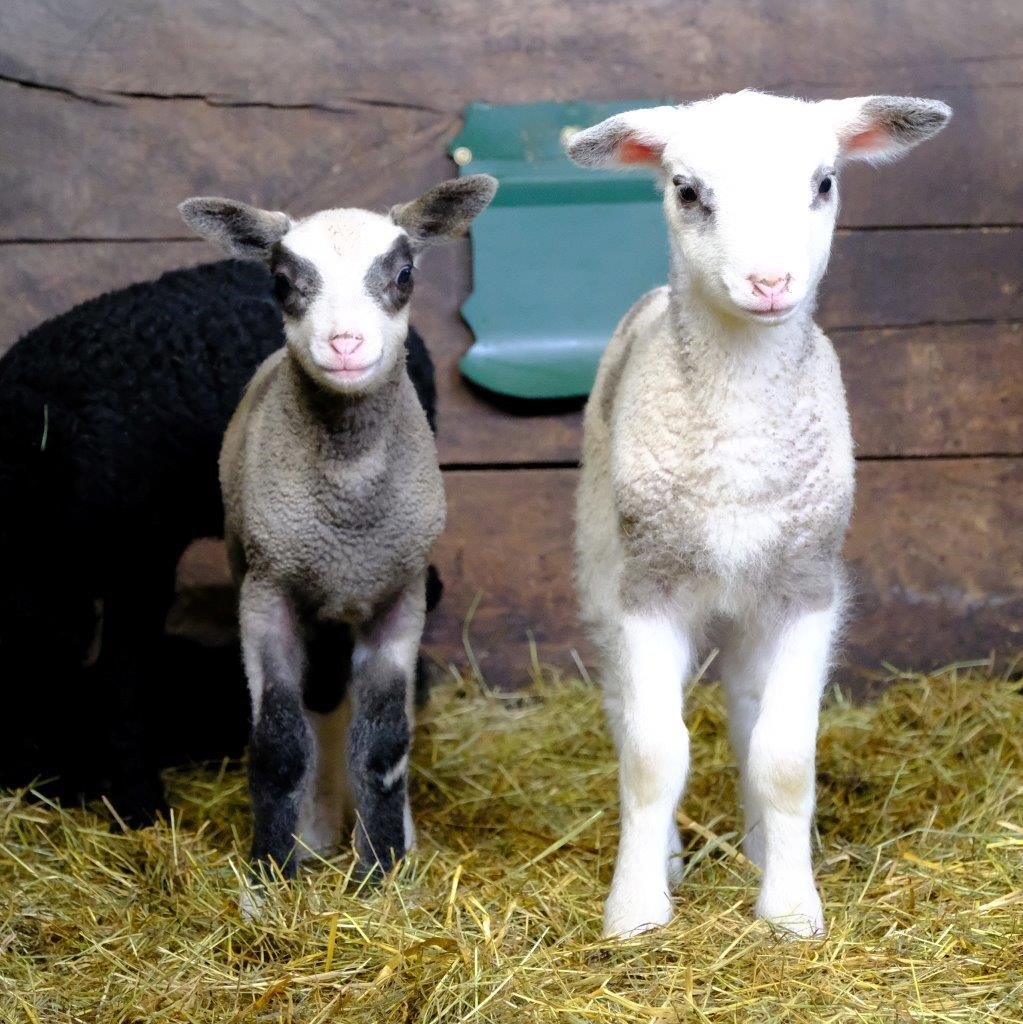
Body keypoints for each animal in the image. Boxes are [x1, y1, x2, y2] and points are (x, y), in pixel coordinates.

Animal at [180, 176, 499, 888]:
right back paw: (319, 827)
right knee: (323, 702)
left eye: (404, 275)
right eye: (281, 281)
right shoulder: (268, 593)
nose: (346, 344)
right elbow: (278, 741)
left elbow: (383, 742)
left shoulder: (398, 596)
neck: (349, 511)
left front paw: (381, 871)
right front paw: (271, 874)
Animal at [569, 92, 950, 937]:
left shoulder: (806, 587)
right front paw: (634, 910)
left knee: (747, 712)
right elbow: (651, 754)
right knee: (622, 707)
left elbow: (782, 756)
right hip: (602, 554)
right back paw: (668, 856)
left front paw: (791, 910)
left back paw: (756, 847)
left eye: (823, 183)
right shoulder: (649, 587)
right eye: (686, 191)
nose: (769, 281)